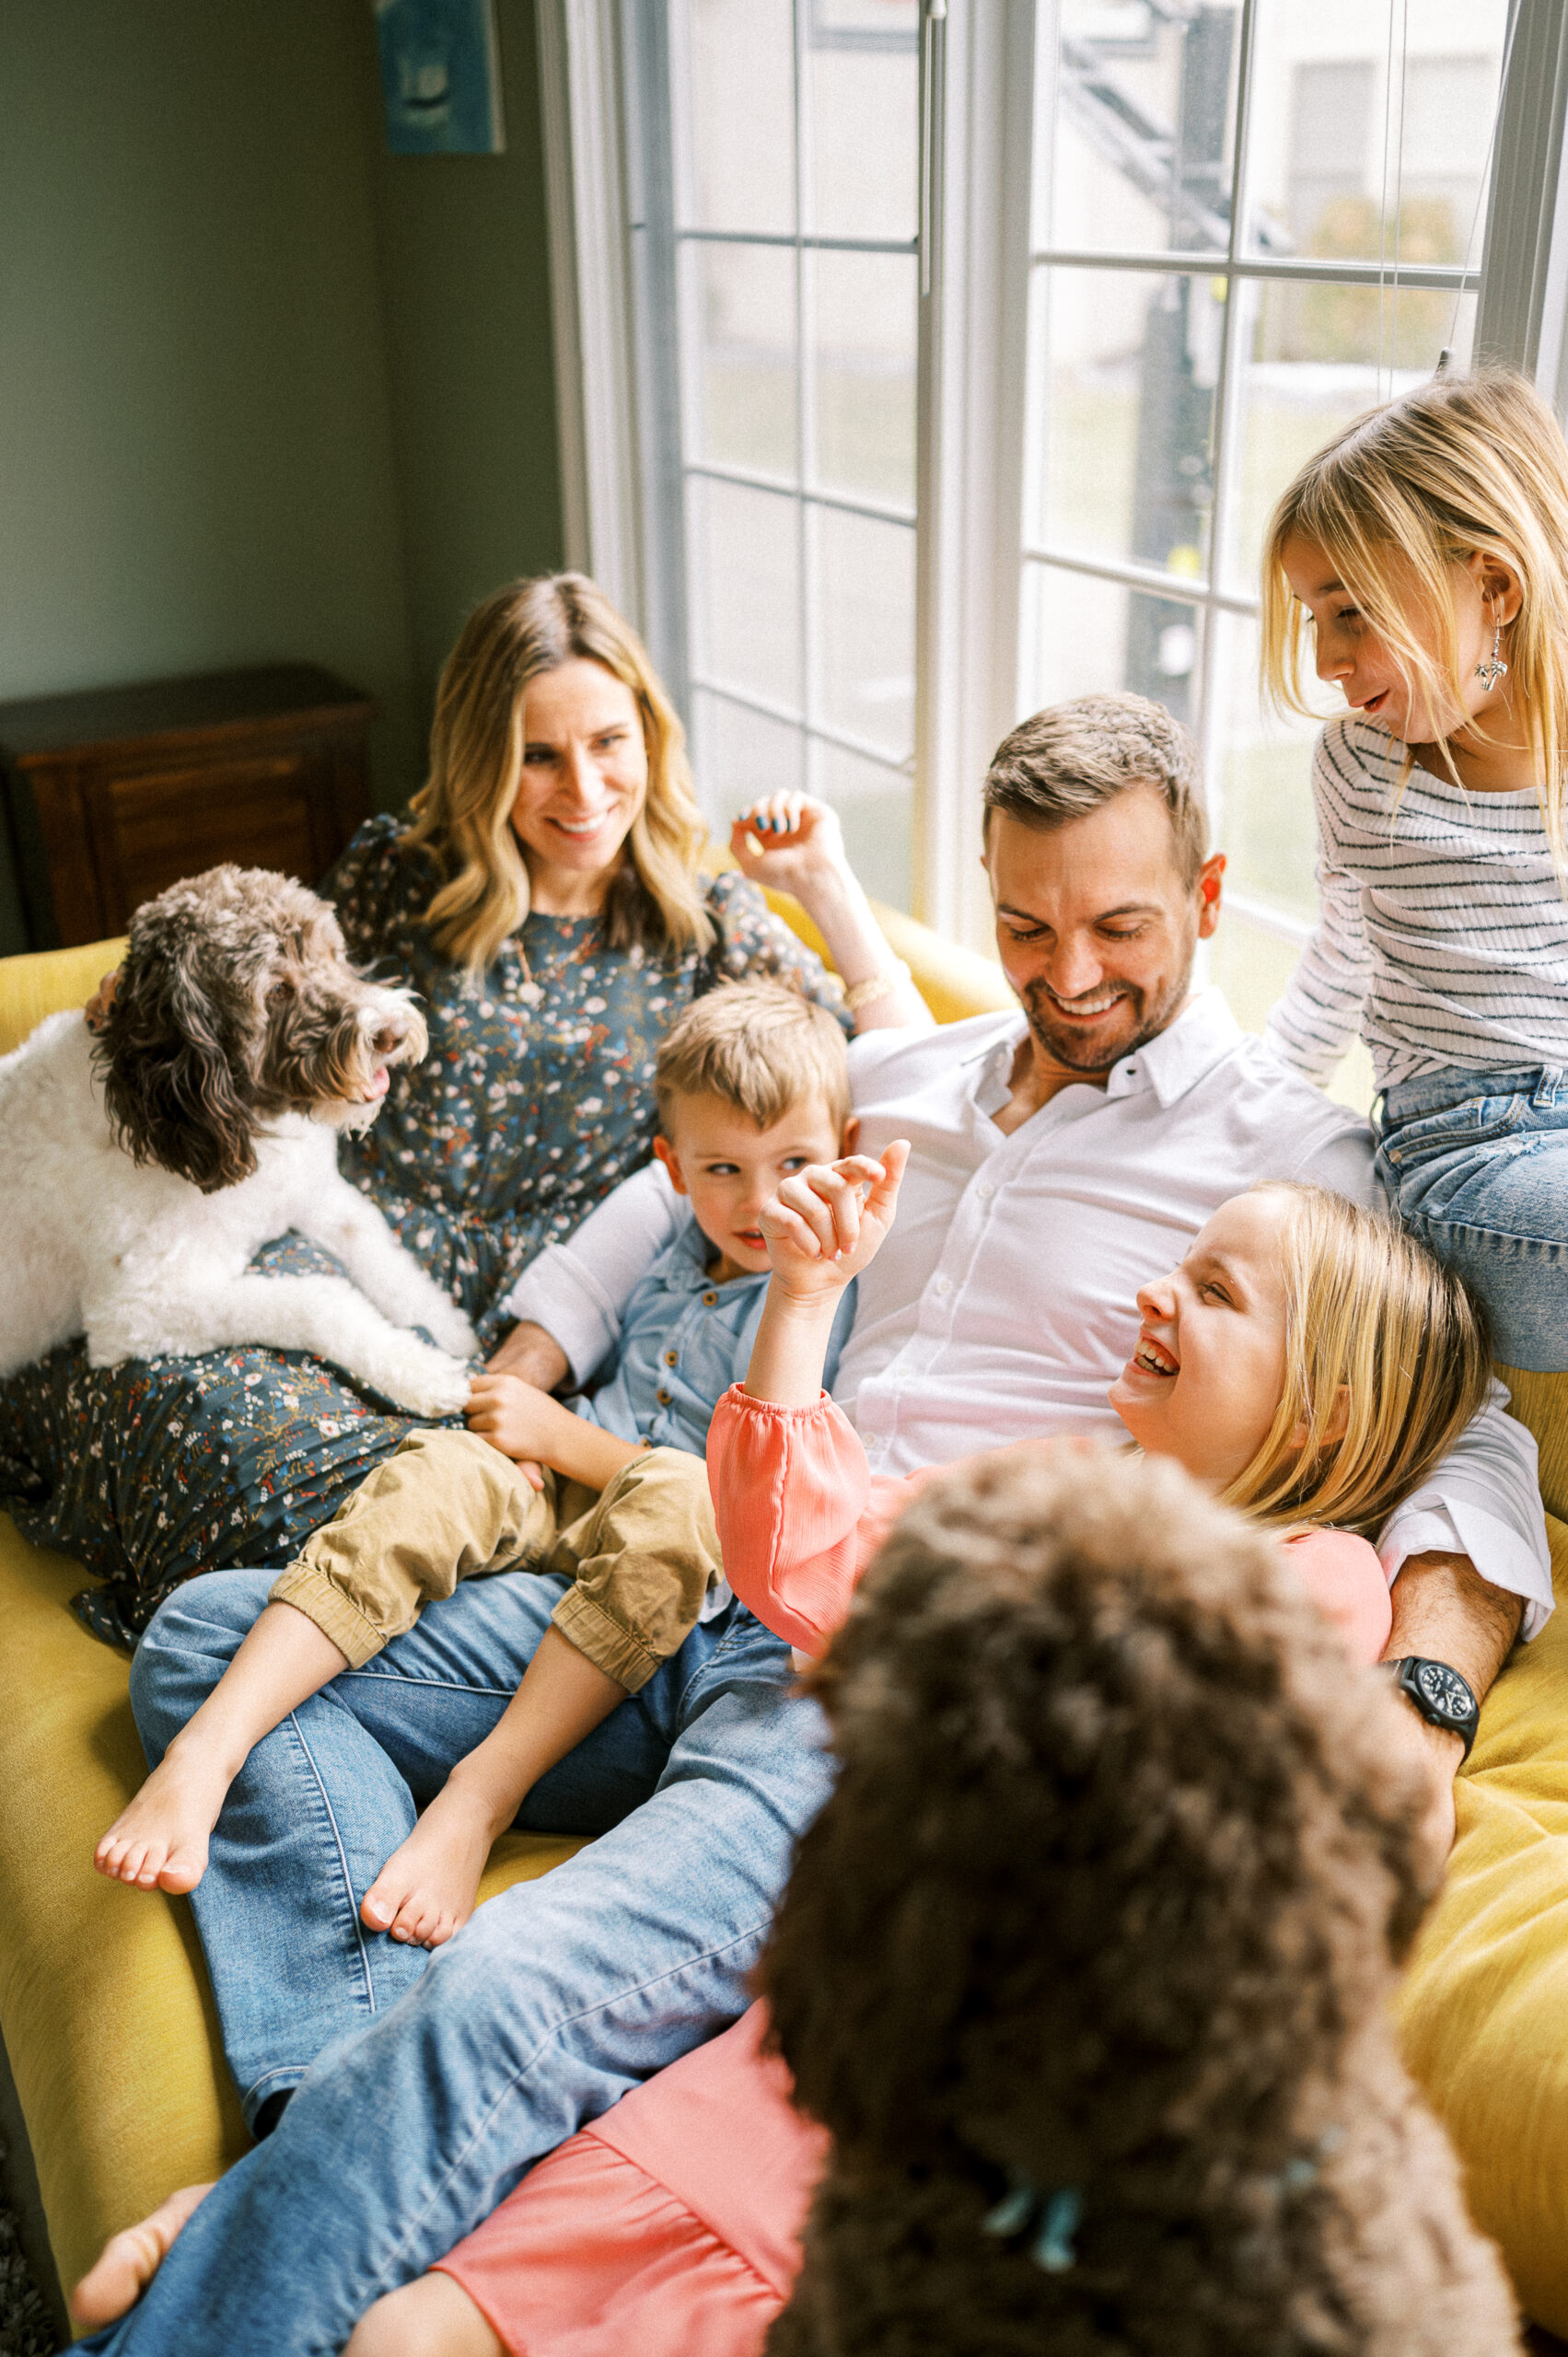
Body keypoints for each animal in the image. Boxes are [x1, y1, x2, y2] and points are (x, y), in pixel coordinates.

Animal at [0, 867, 476, 1414]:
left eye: (333, 954)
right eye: (277, 989)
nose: (392, 1031)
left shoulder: (312, 1194)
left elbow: (380, 1249)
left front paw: (452, 1332)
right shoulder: (136, 1309)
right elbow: (320, 1301)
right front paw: (422, 1371)